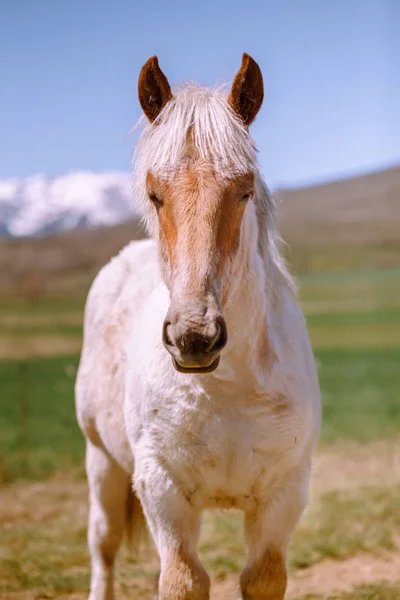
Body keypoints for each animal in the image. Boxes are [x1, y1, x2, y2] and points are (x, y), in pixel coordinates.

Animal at [75, 52, 320, 600]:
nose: (194, 338)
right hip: (102, 462)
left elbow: (263, 577)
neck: (227, 385)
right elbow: (184, 580)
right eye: (154, 193)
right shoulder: (164, 491)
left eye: (244, 190)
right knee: (102, 546)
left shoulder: (284, 493)